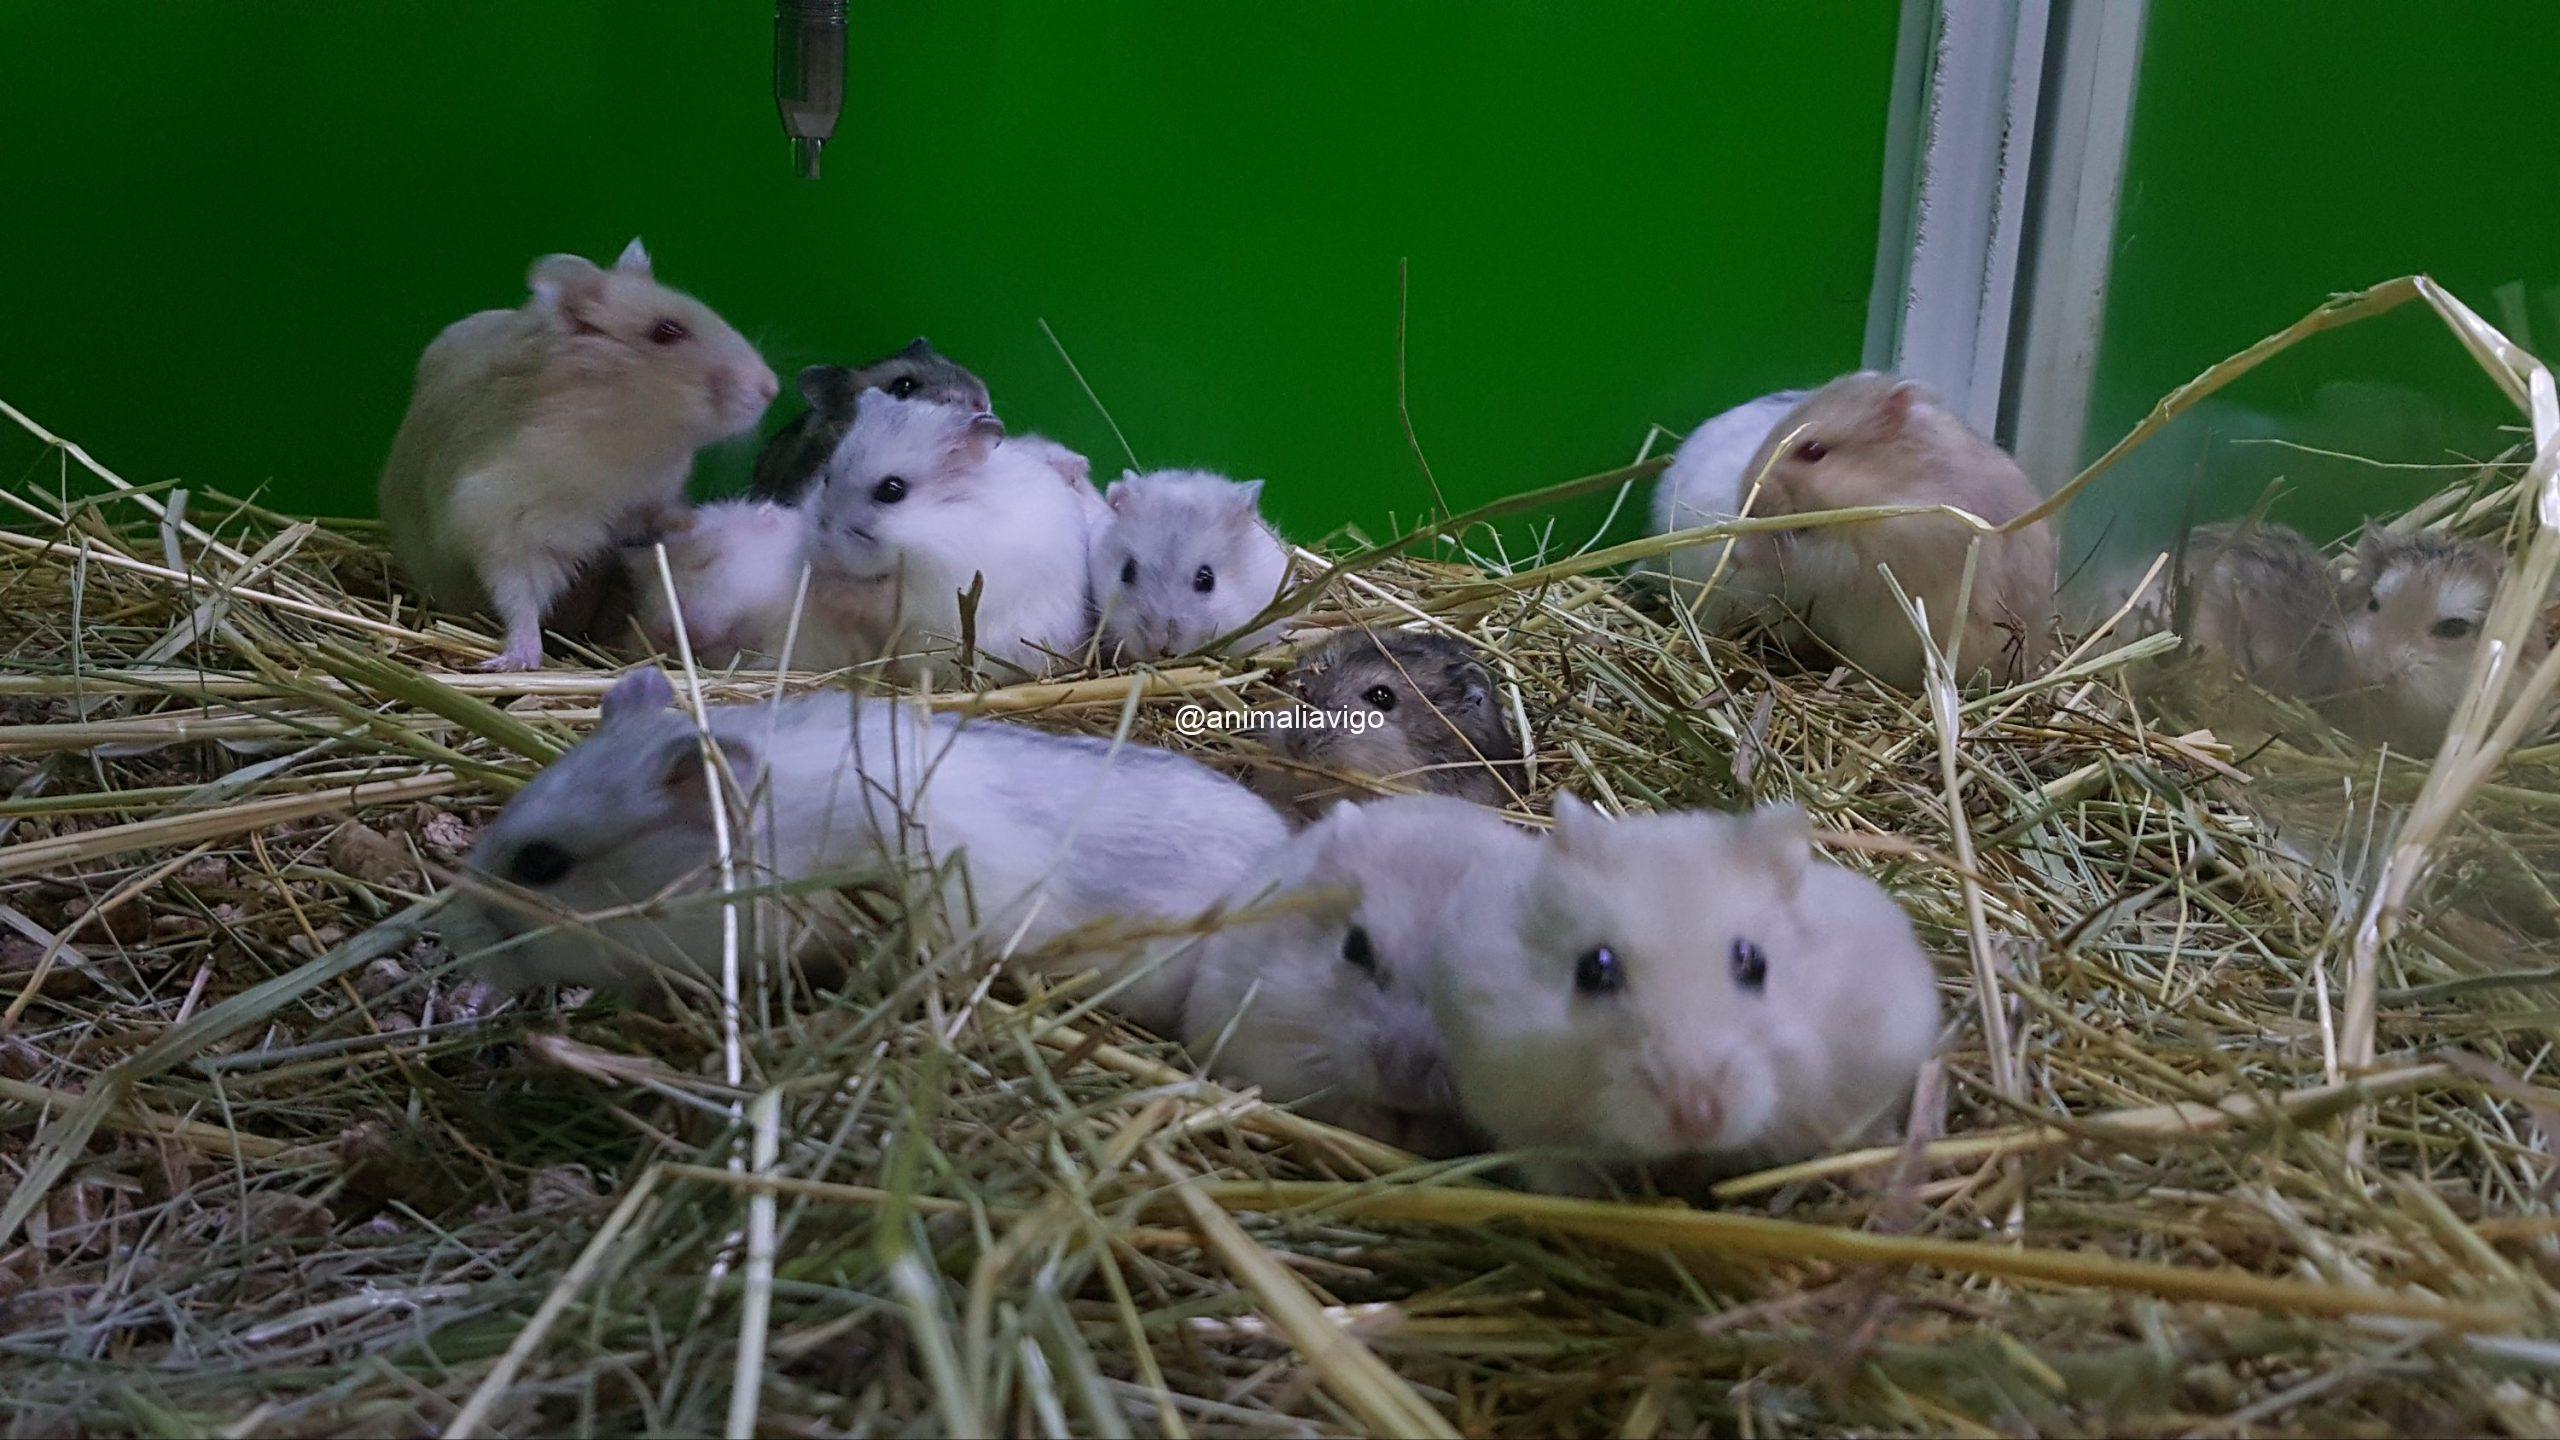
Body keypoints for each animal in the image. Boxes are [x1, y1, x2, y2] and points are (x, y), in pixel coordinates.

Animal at [378, 239, 779, 671]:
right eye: (666, 331)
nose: (772, 389)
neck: (625, 437)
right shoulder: (505, 525)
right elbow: (519, 597)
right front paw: (515, 661)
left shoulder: (654, 494)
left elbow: (666, 512)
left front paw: (696, 524)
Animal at [801, 391, 1093, 680]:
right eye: (826, 479)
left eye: (892, 490)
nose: (823, 548)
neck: (939, 521)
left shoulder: (925, 592)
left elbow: (876, 598)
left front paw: (825, 593)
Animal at [1730, 373, 2057, 688]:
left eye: (1813, 450)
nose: (1745, 500)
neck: (1892, 479)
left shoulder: (1876, 552)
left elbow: (1805, 559)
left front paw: (1740, 552)